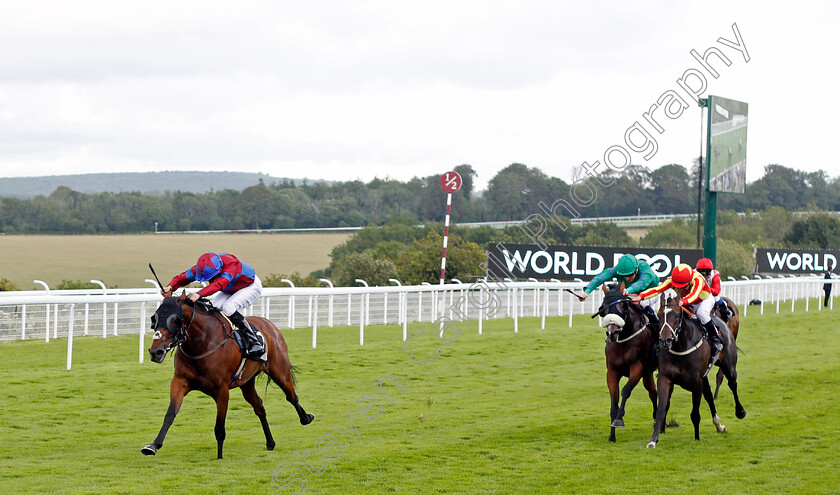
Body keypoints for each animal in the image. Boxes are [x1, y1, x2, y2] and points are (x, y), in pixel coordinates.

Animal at [143, 294, 314, 462]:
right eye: (154, 318)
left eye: (175, 320)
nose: (156, 352)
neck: (202, 343)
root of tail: (270, 324)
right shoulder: (180, 381)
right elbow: (170, 414)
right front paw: (153, 446)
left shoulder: (222, 390)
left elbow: (219, 427)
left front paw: (219, 456)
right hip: (247, 383)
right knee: (259, 407)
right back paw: (270, 442)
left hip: (280, 372)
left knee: (292, 396)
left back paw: (306, 418)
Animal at [592, 284, 660, 444]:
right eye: (603, 307)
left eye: (623, 306)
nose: (612, 333)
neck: (624, 339)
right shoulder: (612, 372)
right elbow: (614, 399)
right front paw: (612, 435)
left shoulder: (637, 368)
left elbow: (626, 391)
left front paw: (619, 419)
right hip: (647, 374)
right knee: (653, 392)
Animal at [648, 294, 744, 450]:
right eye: (659, 315)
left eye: (677, 315)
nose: (664, 341)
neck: (681, 345)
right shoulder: (664, 378)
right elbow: (661, 409)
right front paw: (653, 440)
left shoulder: (696, 381)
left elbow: (695, 414)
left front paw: (697, 438)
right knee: (710, 396)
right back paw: (718, 424)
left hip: (728, 366)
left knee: (732, 384)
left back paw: (740, 411)